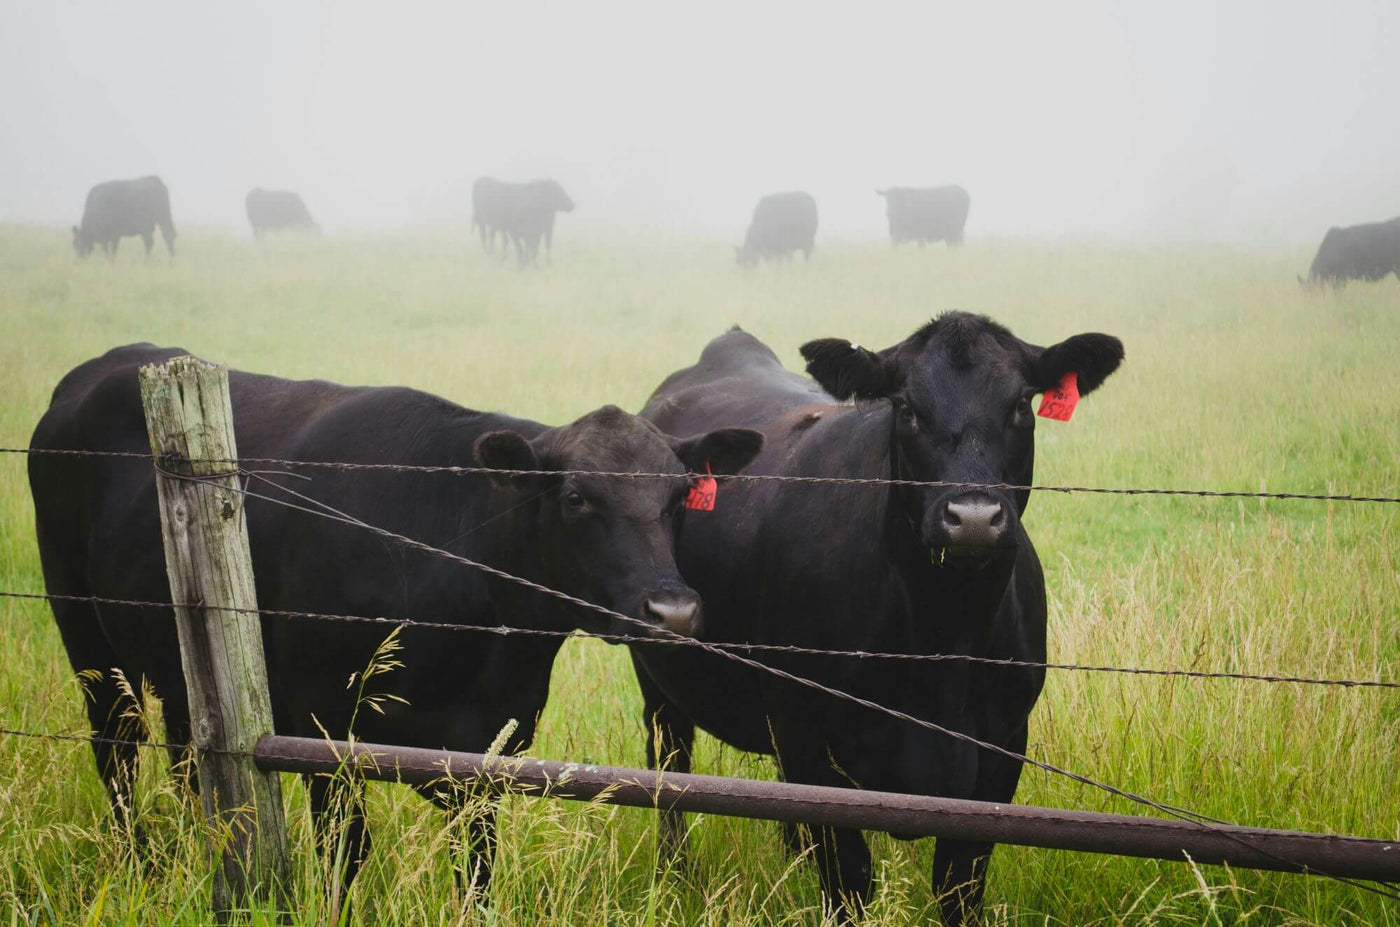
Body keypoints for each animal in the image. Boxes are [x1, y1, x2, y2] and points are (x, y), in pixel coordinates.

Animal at [27, 344, 761, 901]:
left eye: (678, 497)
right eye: (577, 496)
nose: (672, 610)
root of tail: (110, 364)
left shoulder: (488, 750)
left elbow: (477, 869)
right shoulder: (321, 727)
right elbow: (345, 852)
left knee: (187, 758)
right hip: (86, 638)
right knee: (117, 751)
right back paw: (142, 869)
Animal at [641, 316, 1120, 924]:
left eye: (1020, 404)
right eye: (908, 408)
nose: (973, 517)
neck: (943, 640)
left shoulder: (1004, 749)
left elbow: (959, 885)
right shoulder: (807, 739)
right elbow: (847, 878)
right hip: (659, 678)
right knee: (669, 771)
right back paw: (673, 877)